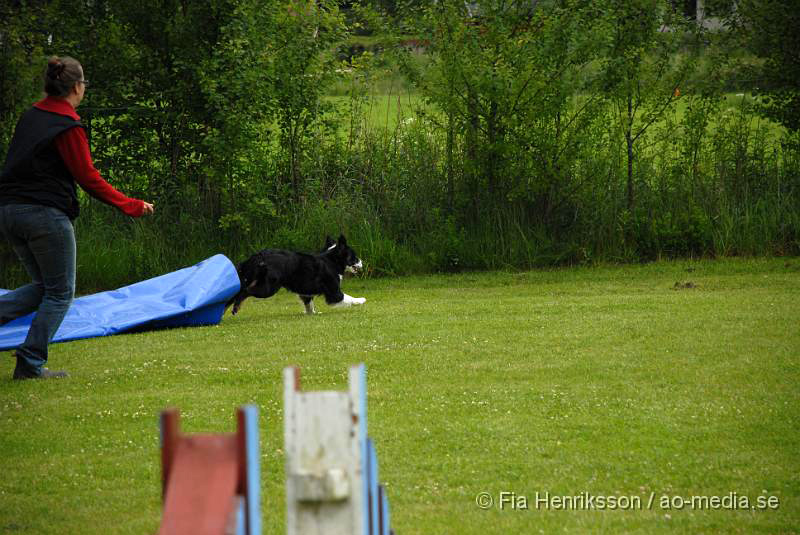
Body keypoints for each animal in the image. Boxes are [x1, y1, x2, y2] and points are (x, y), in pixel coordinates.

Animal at [227, 233, 368, 314]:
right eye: (354, 257)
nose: (362, 262)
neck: (332, 261)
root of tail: (258, 256)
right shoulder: (334, 292)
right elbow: (348, 298)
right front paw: (361, 300)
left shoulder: (306, 292)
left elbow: (309, 305)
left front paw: (312, 314)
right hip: (268, 288)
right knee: (245, 291)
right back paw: (236, 308)